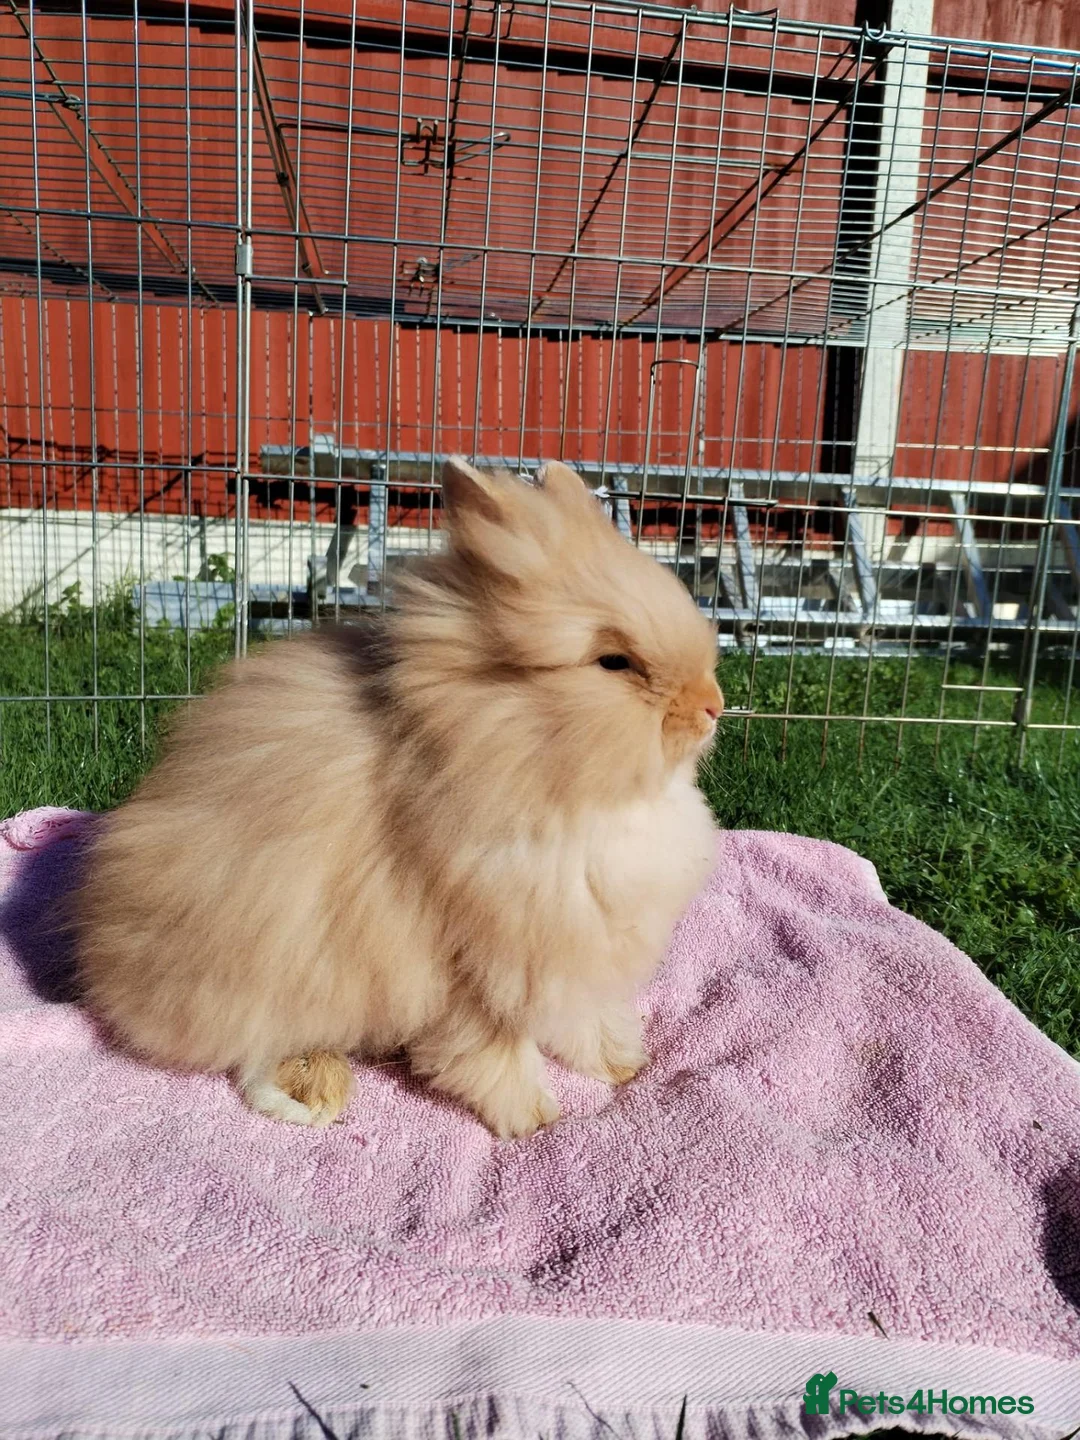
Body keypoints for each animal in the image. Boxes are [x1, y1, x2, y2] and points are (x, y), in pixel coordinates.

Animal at [75, 456, 724, 1138]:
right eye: (613, 662)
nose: (714, 706)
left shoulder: (570, 961)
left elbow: (581, 1018)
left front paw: (621, 1064)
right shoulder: (478, 968)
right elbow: (492, 1047)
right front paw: (531, 1118)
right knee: (251, 1053)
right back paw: (316, 1084)